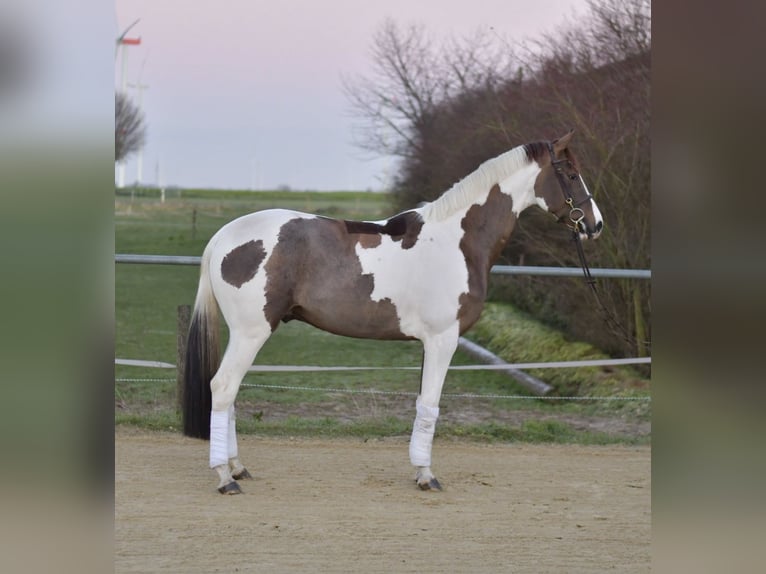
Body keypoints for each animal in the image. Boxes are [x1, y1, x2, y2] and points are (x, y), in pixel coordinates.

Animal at [182, 130, 603, 494]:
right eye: (571, 174)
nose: (596, 225)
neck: (458, 240)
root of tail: (223, 237)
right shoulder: (443, 339)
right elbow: (431, 405)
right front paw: (427, 476)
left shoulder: (430, 343)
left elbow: (421, 405)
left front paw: (419, 470)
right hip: (252, 332)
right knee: (223, 388)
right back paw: (225, 477)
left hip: (243, 334)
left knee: (230, 393)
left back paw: (237, 467)